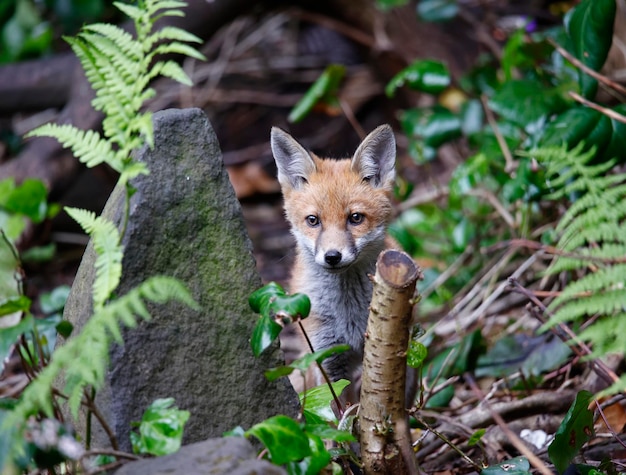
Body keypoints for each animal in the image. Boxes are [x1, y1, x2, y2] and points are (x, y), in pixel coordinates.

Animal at [270, 125, 398, 406]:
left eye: (355, 218)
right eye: (313, 220)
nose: (332, 256)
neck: (348, 314)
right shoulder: (328, 360)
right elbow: (338, 411)